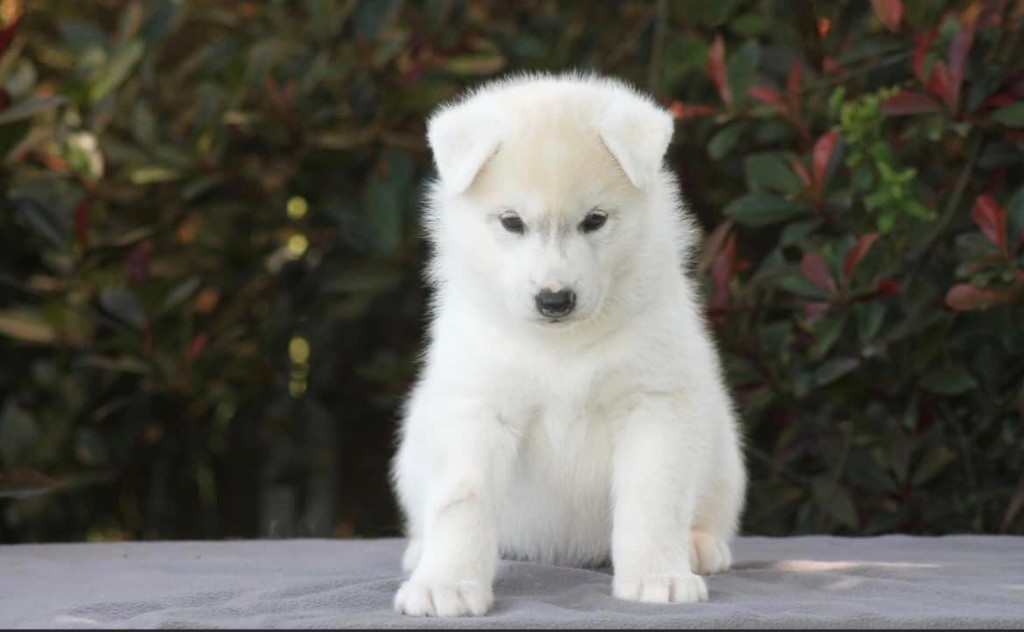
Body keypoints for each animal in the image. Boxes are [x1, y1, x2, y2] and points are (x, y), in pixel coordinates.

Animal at [391, 73, 745, 614]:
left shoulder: (654, 405)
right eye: (511, 222)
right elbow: (462, 498)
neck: (559, 348)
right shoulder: (478, 406)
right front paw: (445, 584)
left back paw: (700, 547)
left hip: (723, 454)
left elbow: (653, 498)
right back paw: (419, 552)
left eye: (594, 220)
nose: (554, 300)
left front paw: (657, 577)